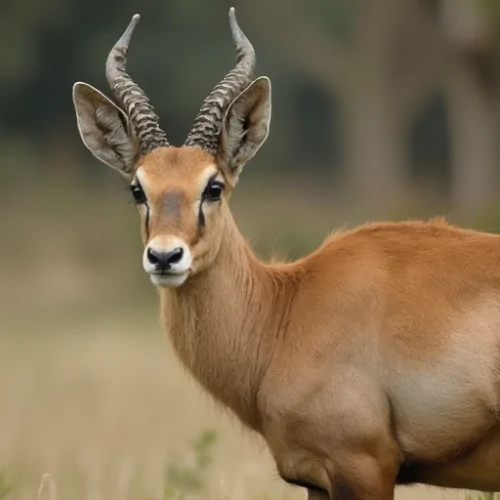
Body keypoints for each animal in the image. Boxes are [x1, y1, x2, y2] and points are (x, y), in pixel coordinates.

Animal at [71, 7, 500, 500]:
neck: (286, 309)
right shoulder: (314, 477)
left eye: (213, 186)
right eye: (138, 189)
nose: (164, 257)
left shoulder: (364, 467)